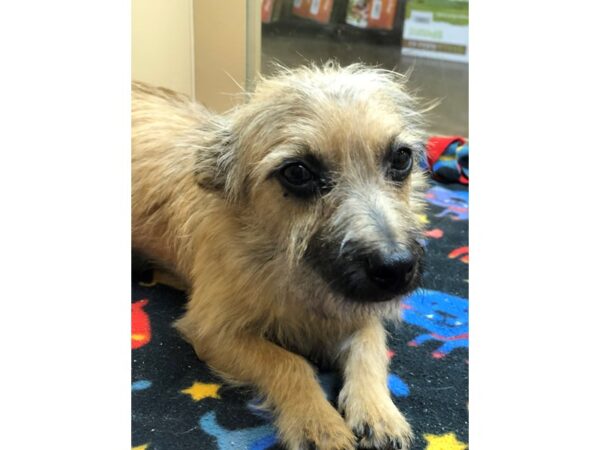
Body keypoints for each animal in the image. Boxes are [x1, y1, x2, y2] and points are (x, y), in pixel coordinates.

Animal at [132, 63, 426, 450]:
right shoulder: (213, 331)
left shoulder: (362, 314)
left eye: (401, 158)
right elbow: (288, 362)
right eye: (297, 172)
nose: (396, 268)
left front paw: (379, 412)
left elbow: (370, 348)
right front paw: (318, 422)